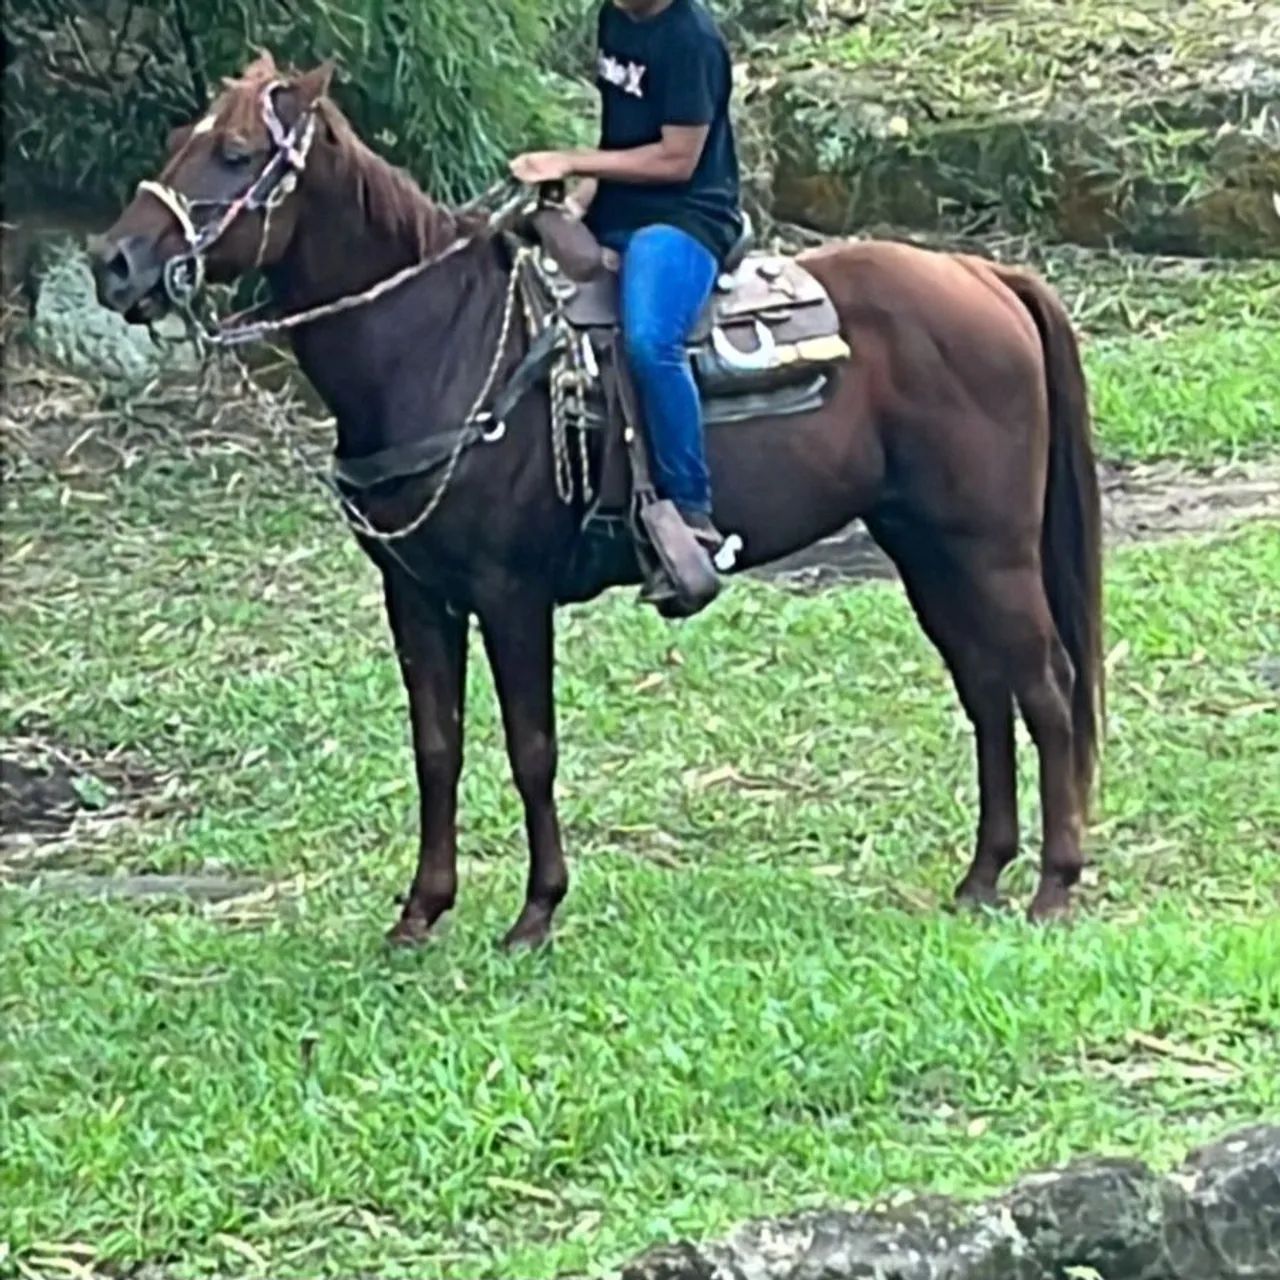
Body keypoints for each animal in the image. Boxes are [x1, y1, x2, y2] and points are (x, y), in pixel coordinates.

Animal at [91, 54, 1103, 949]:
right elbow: (437, 746)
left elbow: (531, 747)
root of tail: (986, 278)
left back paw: (1054, 886)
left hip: (989, 547)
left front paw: (536, 912)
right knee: (985, 687)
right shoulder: (415, 594)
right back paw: (982, 877)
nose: (113, 263)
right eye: (180, 139)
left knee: (1045, 687)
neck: (440, 342)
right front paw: (422, 911)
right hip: (927, 547)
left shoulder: (510, 594)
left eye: (234, 153)